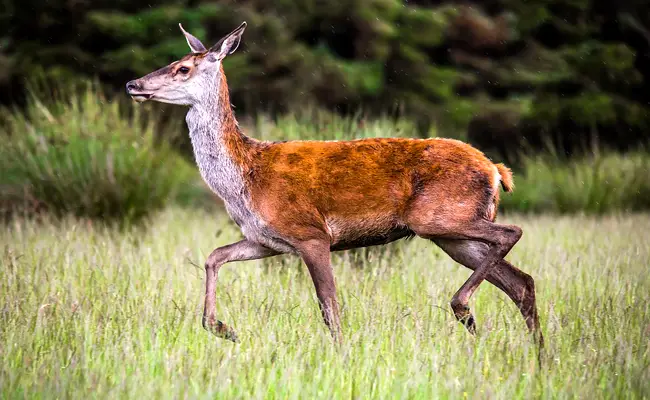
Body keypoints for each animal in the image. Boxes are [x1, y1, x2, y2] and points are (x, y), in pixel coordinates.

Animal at [125, 21, 540, 346]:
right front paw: (223, 328)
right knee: (521, 281)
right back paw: (538, 356)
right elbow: (213, 256)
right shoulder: (266, 238)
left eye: (182, 68)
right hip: (451, 234)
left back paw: (464, 309)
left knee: (512, 234)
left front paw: (340, 353)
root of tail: (497, 170)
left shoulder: (311, 233)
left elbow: (330, 307)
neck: (247, 178)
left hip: (438, 216)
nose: (133, 83)